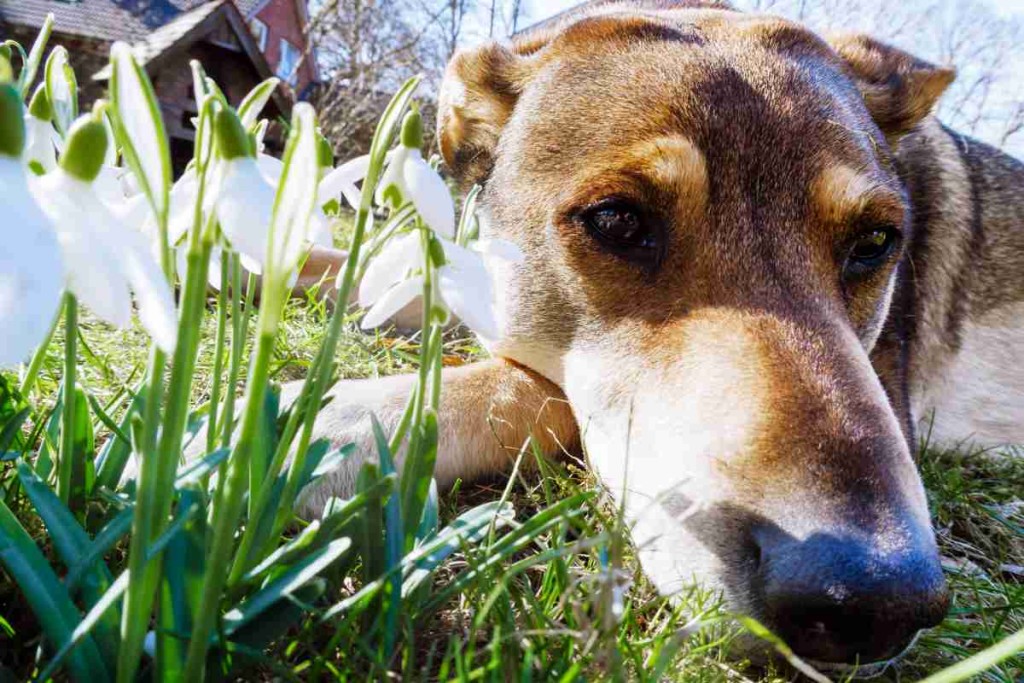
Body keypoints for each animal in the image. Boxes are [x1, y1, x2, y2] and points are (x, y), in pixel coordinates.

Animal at [278, 0, 1024, 671]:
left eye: (874, 243)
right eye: (616, 220)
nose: (874, 600)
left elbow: (524, 391)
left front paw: (319, 419)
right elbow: (343, 269)